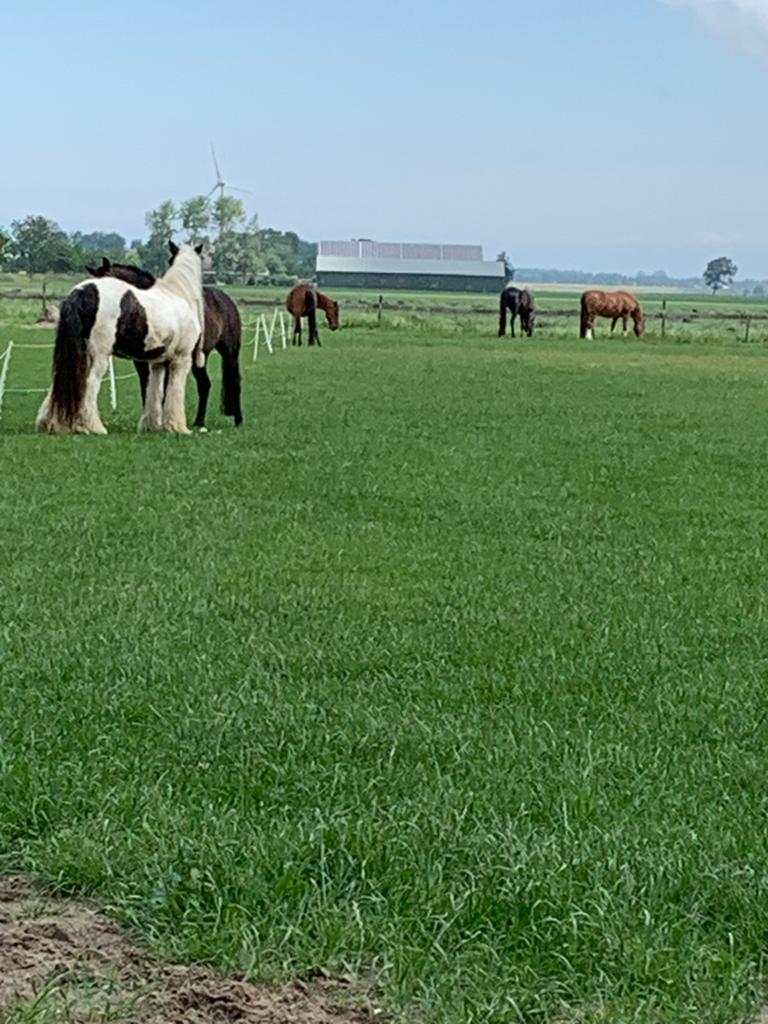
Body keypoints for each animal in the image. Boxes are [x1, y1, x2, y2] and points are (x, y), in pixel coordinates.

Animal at [36, 243, 204, 435]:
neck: (178, 293)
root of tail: (82, 292)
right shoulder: (181, 360)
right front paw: (178, 427)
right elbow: (175, 392)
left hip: (74, 353)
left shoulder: (158, 363)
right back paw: (93, 427)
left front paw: (152, 426)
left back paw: (50, 424)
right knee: (89, 384)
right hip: (99, 357)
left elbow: (154, 390)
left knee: (59, 383)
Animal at [86, 246, 243, 428]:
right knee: (204, 384)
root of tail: (226, 299)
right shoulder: (142, 362)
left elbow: (165, 388)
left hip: (230, 352)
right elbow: (147, 387)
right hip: (200, 357)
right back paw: (199, 422)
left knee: (234, 380)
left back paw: (237, 420)